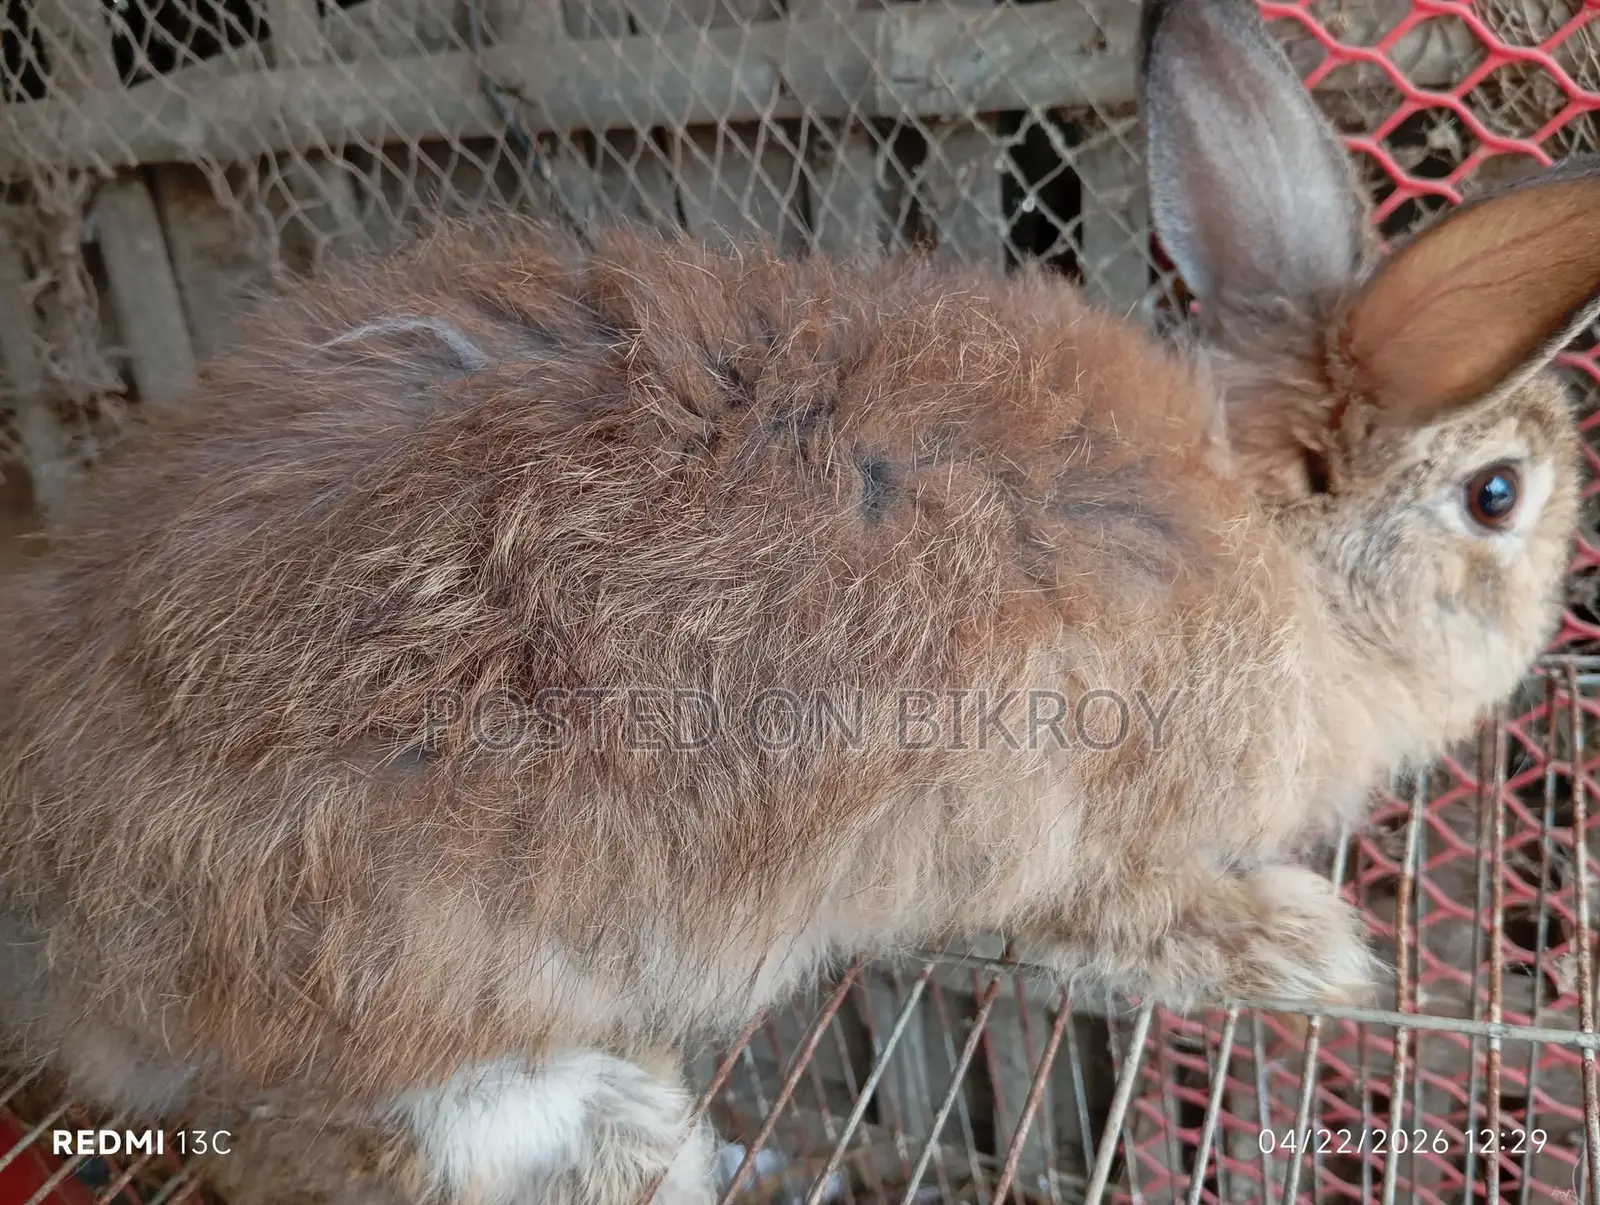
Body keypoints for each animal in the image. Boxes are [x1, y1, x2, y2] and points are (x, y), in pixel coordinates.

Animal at [3, 0, 1600, 1198]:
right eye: (1500, 496)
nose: (1546, 628)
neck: (1279, 538)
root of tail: (61, 920)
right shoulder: (1086, 837)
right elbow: (1131, 924)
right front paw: (1313, 951)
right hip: (407, 968)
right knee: (327, 1136)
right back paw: (638, 1144)